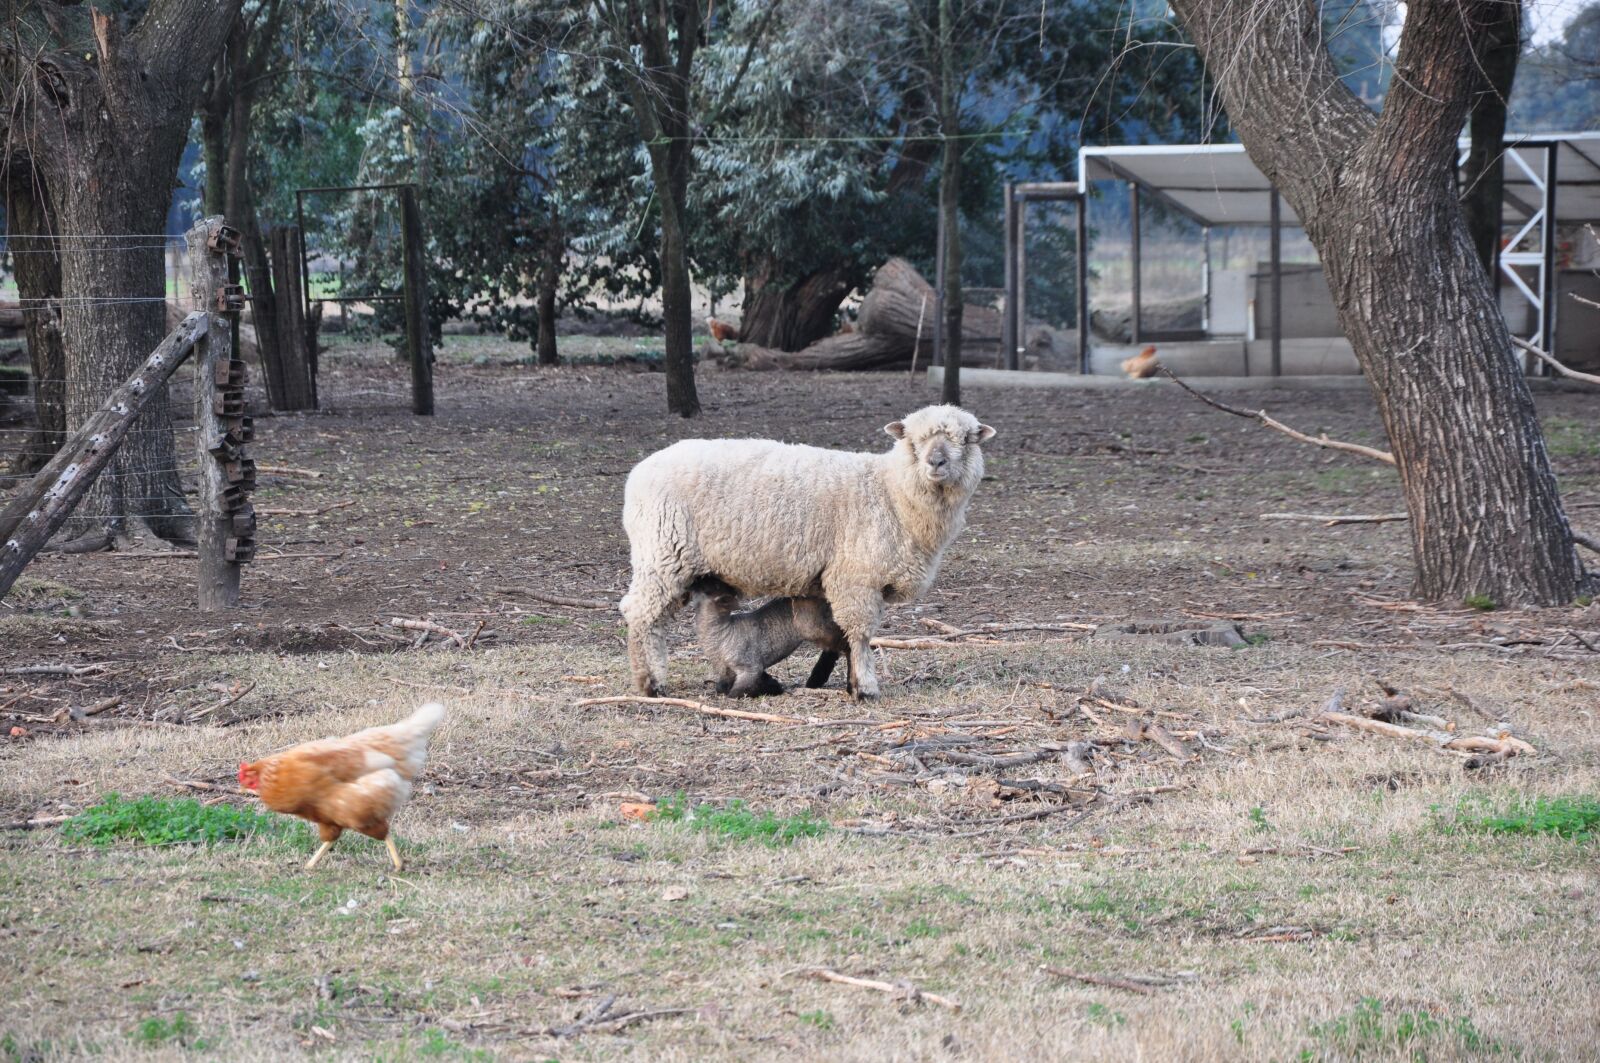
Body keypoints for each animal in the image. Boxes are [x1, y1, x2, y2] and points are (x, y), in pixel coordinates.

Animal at [692, 582, 850, 697]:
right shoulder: (726, 671)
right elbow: (721, 687)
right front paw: (773, 684)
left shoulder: (750, 667)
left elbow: (735, 693)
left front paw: (771, 689)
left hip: (815, 628)